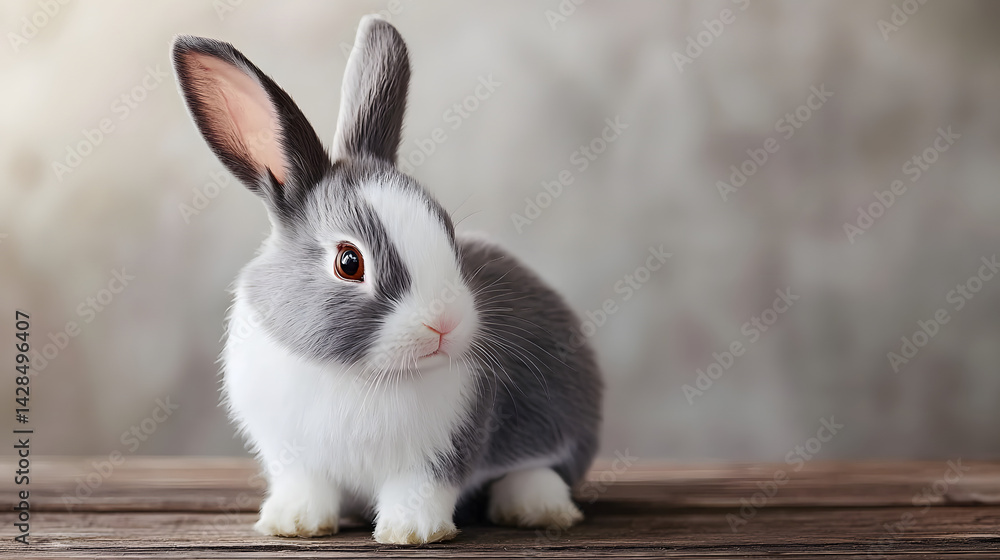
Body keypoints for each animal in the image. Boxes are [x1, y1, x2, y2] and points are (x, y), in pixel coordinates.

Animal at [171, 15, 603, 545]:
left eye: (447, 229)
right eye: (349, 263)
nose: (445, 324)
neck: (358, 373)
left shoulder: (441, 453)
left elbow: (421, 490)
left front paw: (411, 532)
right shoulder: (292, 456)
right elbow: (305, 487)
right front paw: (293, 523)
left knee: (543, 468)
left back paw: (536, 509)